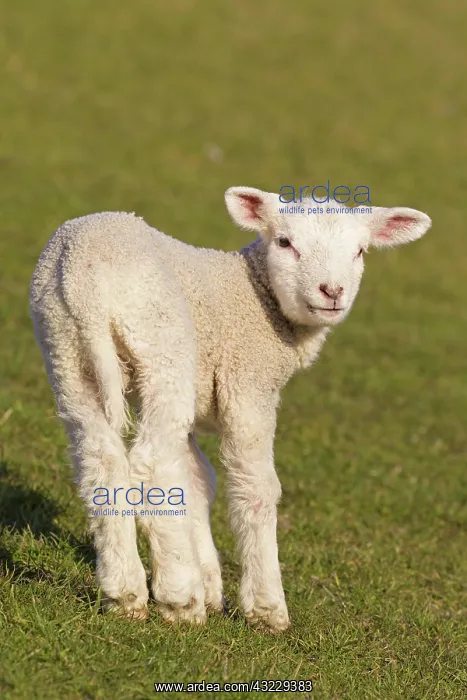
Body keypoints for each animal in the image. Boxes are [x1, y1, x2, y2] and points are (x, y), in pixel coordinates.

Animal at [29, 187, 431, 631]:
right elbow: (255, 487)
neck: (254, 293)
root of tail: (83, 277)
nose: (332, 291)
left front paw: (210, 583)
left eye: (360, 251)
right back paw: (179, 597)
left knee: (101, 463)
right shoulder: (248, 382)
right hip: (163, 346)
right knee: (152, 465)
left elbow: (197, 479)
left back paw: (126, 593)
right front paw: (265, 608)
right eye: (285, 242)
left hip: (66, 353)